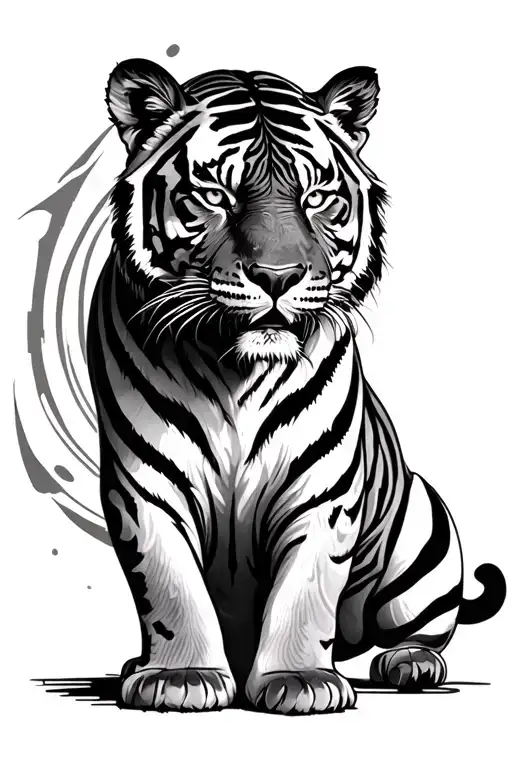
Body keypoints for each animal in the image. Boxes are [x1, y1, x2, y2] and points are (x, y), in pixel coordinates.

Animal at [86, 57, 506, 714]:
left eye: (317, 199)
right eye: (215, 195)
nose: (278, 277)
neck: (236, 369)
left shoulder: (321, 492)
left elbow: (306, 592)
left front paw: (300, 680)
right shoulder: (147, 485)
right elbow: (170, 585)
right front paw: (181, 676)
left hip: (425, 527)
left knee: (423, 629)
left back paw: (409, 664)